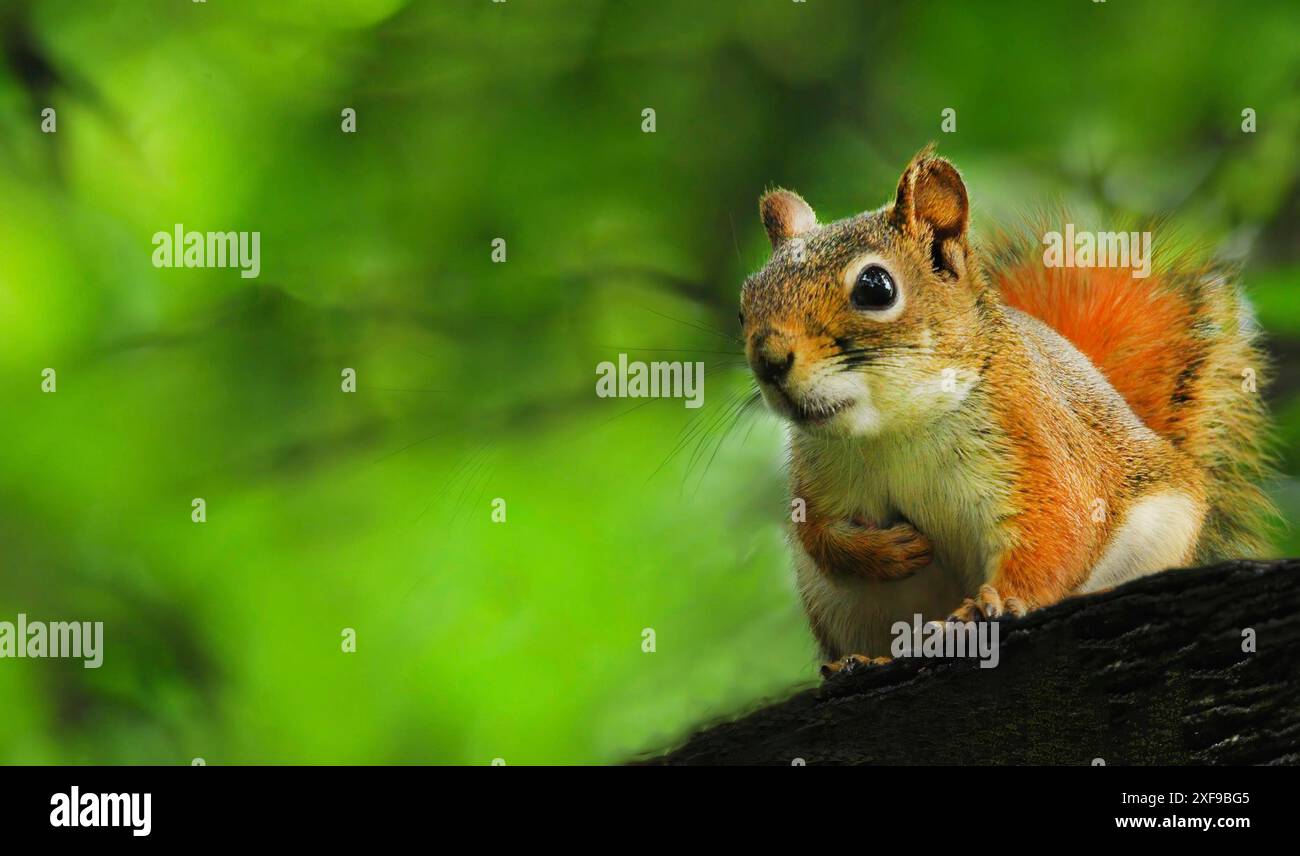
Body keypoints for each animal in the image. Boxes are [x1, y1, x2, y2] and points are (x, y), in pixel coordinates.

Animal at [743, 143, 1279, 671]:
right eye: (748, 300)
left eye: (876, 287)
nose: (769, 360)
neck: (898, 426)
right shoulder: (819, 472)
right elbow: (818, 534)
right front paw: (887, 551)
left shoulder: (1035, 439)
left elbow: (1057, 529)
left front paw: (989, 606)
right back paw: (864, 659)